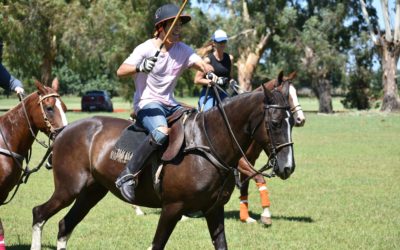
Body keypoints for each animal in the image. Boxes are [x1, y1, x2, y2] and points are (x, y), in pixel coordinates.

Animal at [30, 80, 294, 250]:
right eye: (276, 123)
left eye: (291, 120)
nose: (288, 167)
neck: (208, 144)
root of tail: (63, 132)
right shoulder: (172, 208)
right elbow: (156, 245)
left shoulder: (214, 209)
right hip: (68, 189)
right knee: (39, 213)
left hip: (91, 192)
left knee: (65, 225)